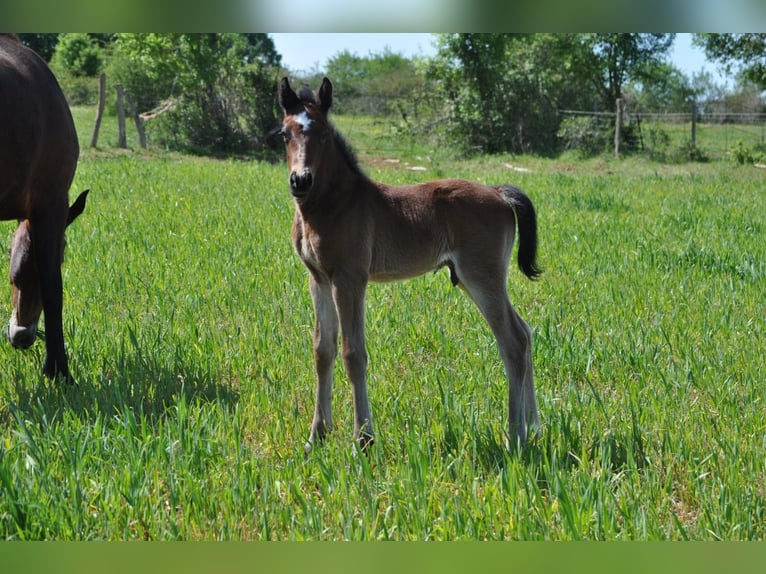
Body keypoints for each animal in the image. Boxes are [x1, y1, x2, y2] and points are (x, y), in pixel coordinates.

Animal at [278, 76, 542, 454]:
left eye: (325, 135)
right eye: (285, 134)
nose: (301, 180)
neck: (334, 204)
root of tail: (498, 192)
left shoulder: (350, 278)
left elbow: (353, 353)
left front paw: (363, 439)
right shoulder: (319, 279)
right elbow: (322, 351)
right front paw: (316, 437)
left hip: (483, 276)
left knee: (514, 342)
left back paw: (515, 437)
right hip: (475, 278)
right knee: (525, 331)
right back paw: (534, 426)